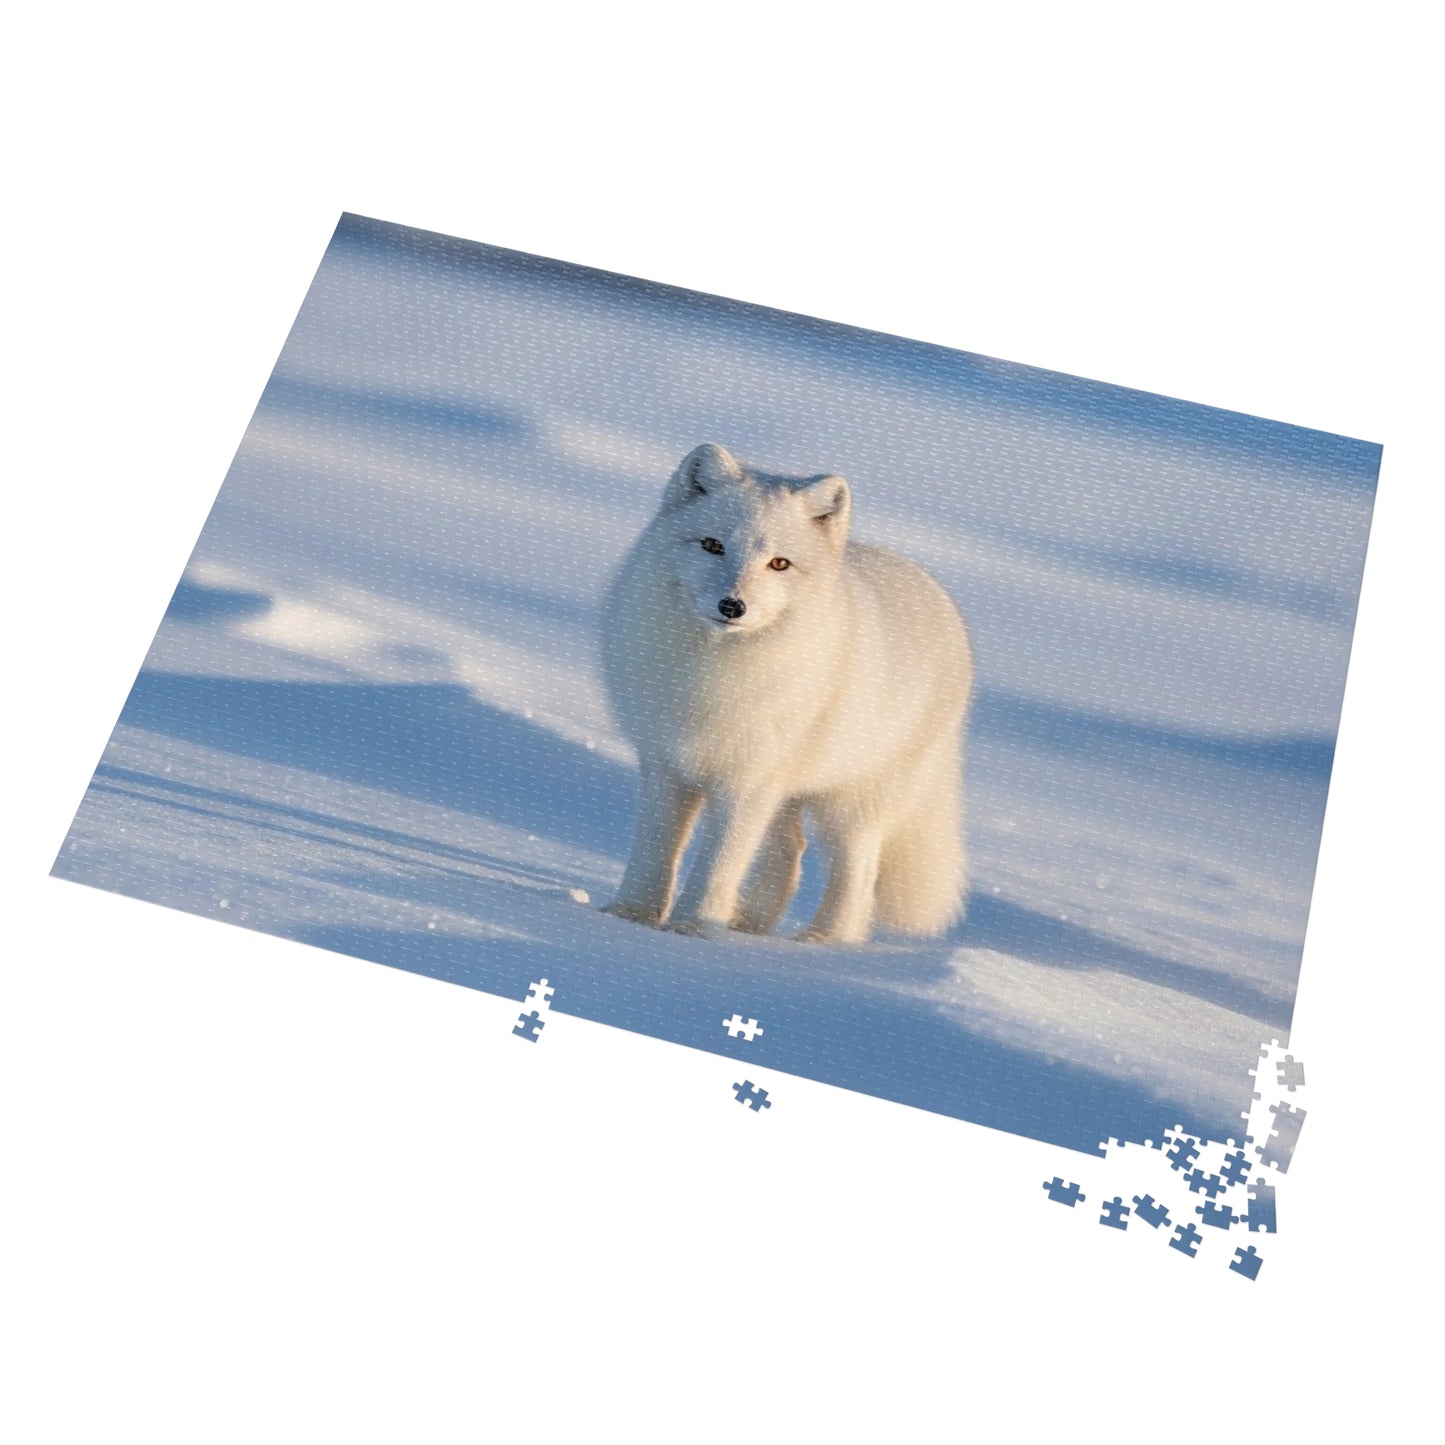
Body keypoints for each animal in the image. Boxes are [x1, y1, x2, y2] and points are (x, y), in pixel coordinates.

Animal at [599, 442, 973, 944]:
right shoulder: (669, 766)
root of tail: (941, 599)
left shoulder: (746, 785)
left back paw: (823, 941)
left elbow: (719, 864)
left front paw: (693, 929)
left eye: (779, 563)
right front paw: (632, 917)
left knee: (859, 873)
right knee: (790, 852)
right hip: (786, 793)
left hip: (852, 801)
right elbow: (655, 852)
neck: (714, 671)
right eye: (712, 545)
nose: (732, 606)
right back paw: (749, 925)